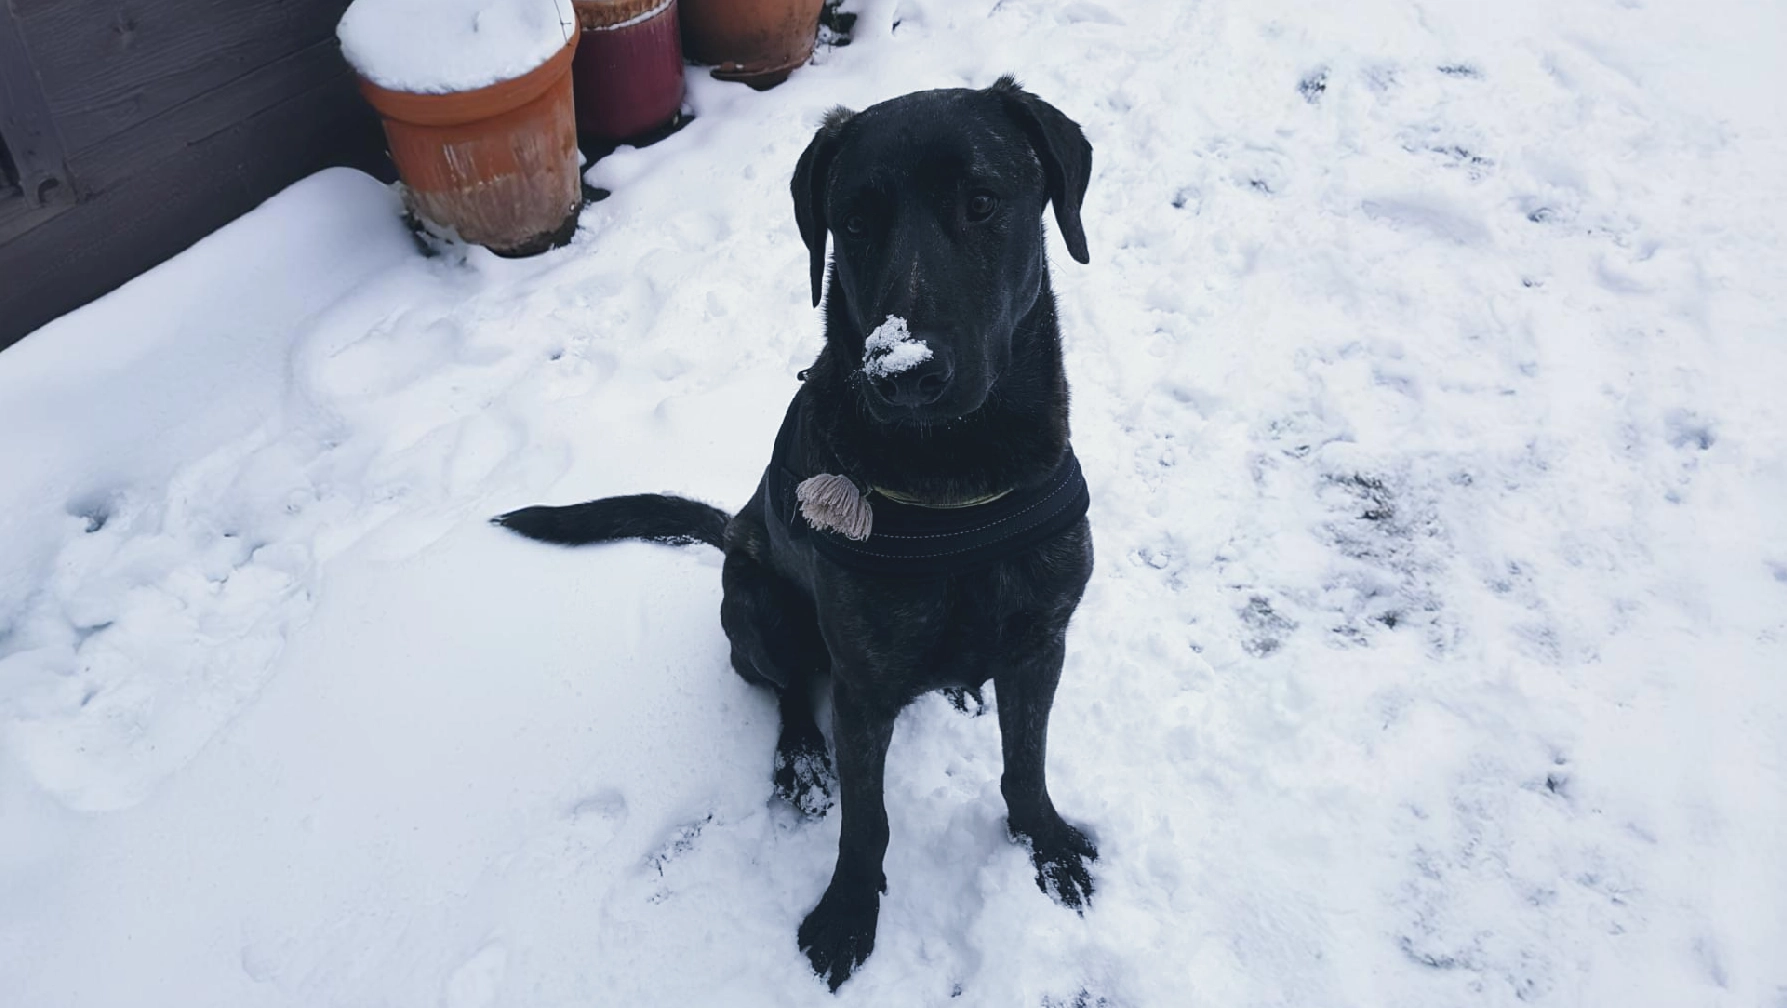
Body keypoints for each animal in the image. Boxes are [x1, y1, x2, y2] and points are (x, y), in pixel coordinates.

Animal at [496, 80, 1093, 993]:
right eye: (854, 220)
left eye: (983, 202)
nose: (902, 372)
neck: (956, 484)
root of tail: (730, 530)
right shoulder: (860, 685)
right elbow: (865, 817)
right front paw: (847, 913)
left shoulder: (1040, 643)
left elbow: (1024, 764)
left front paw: (1049, 846)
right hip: (754, 606)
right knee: (783, 692)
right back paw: (802, 760)